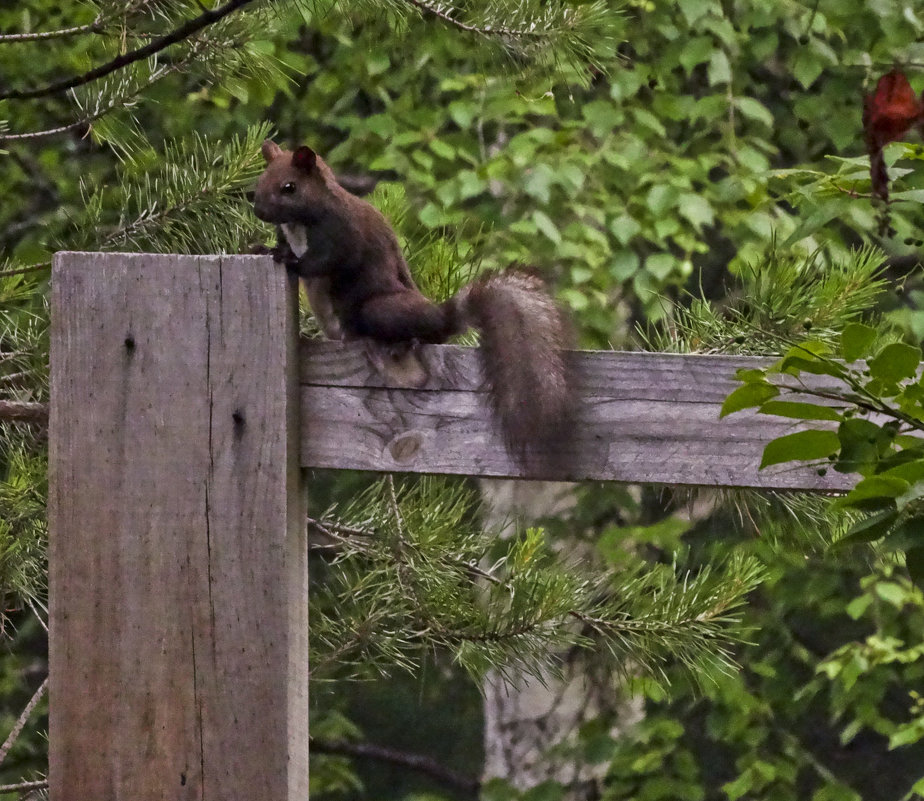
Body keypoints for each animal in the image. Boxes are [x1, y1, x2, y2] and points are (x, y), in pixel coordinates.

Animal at [249, 140, 572, 466]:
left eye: (289, 187)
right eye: (261, 180)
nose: (260, 211)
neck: (298, 224)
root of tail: (441, 316)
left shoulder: (341, 233)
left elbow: (323, 261)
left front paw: (289, 260)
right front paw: (264, 248)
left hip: (380, 310)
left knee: (420, 334)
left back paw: (402, 343)